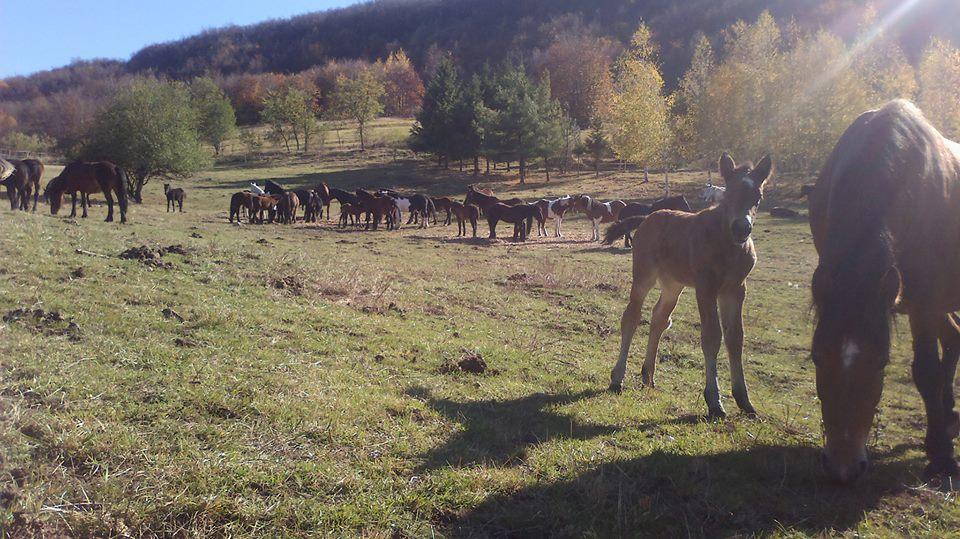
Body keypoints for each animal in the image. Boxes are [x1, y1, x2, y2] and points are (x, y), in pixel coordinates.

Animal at [604, 154, 776, 420]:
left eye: (757, 197)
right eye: (727, 195)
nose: (741, 228)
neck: (726, 243)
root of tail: (647, 218)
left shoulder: (736, 289)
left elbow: (735, 337)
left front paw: (744, 401)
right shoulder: (706, 287)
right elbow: (711, 336)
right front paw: (714, 401)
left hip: (673, 285)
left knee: (659, 319)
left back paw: (648, 376)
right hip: (644, 276)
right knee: (631, 317)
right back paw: (617, 379)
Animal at [808, 101, 960, 486]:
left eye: (881, 362)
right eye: (816, 357)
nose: (844, 468)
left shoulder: (925, 301)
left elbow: (926, 370)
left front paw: (941, 458)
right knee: (954, 338)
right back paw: (949, 416)